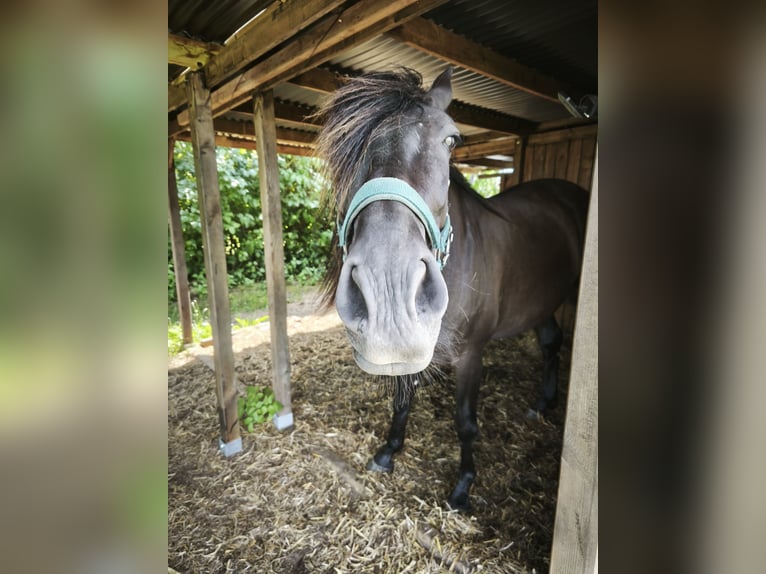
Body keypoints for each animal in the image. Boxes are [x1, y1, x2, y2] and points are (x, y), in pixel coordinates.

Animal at [314, 67, 589, 510]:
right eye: (348, 149)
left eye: (452, 139)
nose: (388, 287)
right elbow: (402, 401)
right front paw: (388, 452)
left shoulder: (471, 354)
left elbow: (465, 422)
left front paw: (463, 487)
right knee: (550, 341)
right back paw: (541, 404)